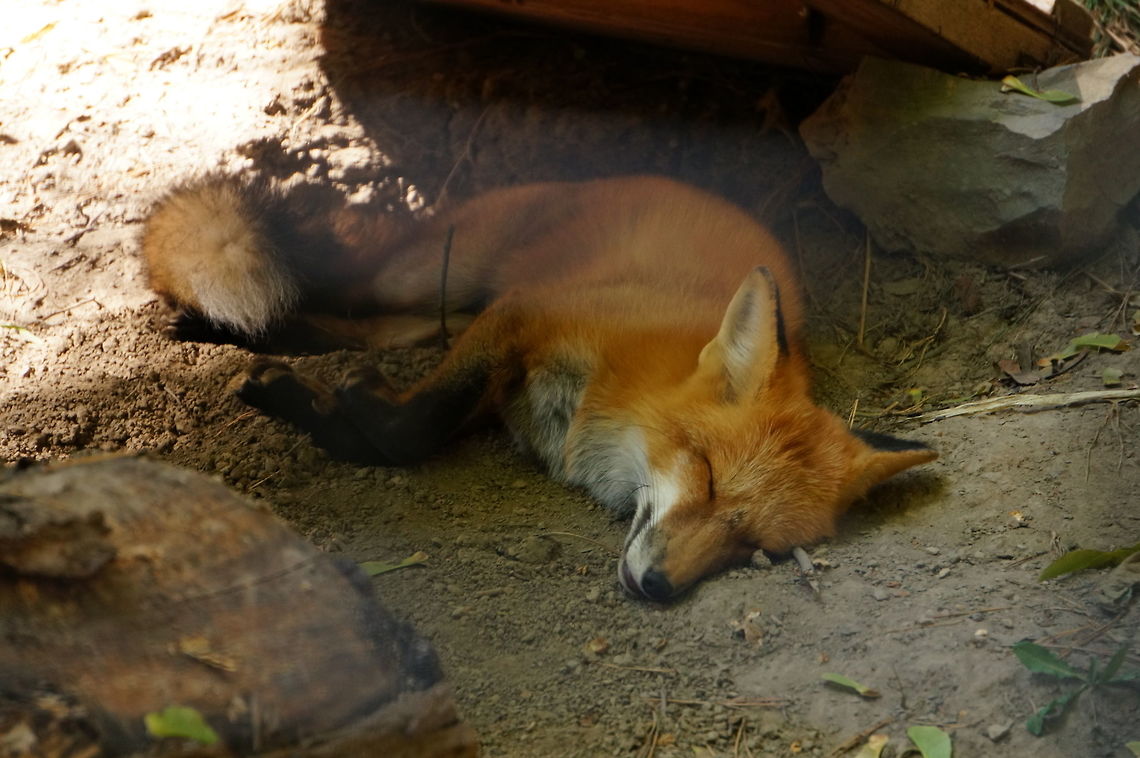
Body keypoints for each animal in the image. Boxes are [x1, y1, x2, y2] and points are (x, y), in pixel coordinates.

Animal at [142, 174, 937, 601]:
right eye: (708, 477)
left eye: (755, 546)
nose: (660, 588)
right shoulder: (524, 316)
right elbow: (413, 427)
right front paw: (337, 405)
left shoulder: (500, 376)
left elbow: (405, 428)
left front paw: (333, 406)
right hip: (428, 274)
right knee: (324, 286)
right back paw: (221, 324)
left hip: (436, 313)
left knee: (364, 327)